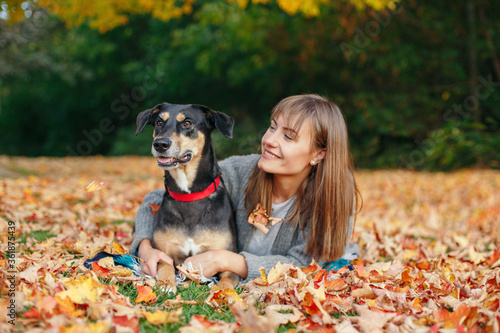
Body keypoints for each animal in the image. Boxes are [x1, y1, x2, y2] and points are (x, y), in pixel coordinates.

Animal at [135, 102, 238, 290]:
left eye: (187, 123)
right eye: (159, 122)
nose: (160, 144)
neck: (189, 195)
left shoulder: (228, 257)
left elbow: (226, 283)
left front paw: (221, 293)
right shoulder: (164, 251)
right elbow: (164, 264)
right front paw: (167, 284)